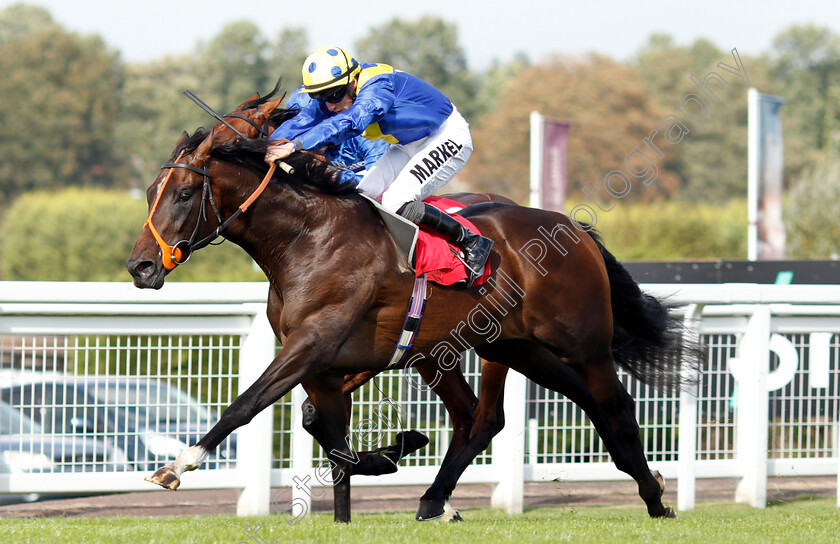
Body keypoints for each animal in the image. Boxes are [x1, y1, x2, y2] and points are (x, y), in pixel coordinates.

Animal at [128, 94, 684, 524]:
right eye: (151, 192)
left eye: (183, 194)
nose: (141, 266)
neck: (306, 236)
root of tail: (575, 228)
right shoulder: (324, 364)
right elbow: (329, 439)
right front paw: (378, 470)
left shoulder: (313, 345)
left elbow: (246, 405)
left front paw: (178, 465)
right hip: (509, 346)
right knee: (502, 414)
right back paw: (437, 498)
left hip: (580, 344)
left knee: (610, 406)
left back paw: (655, 500)